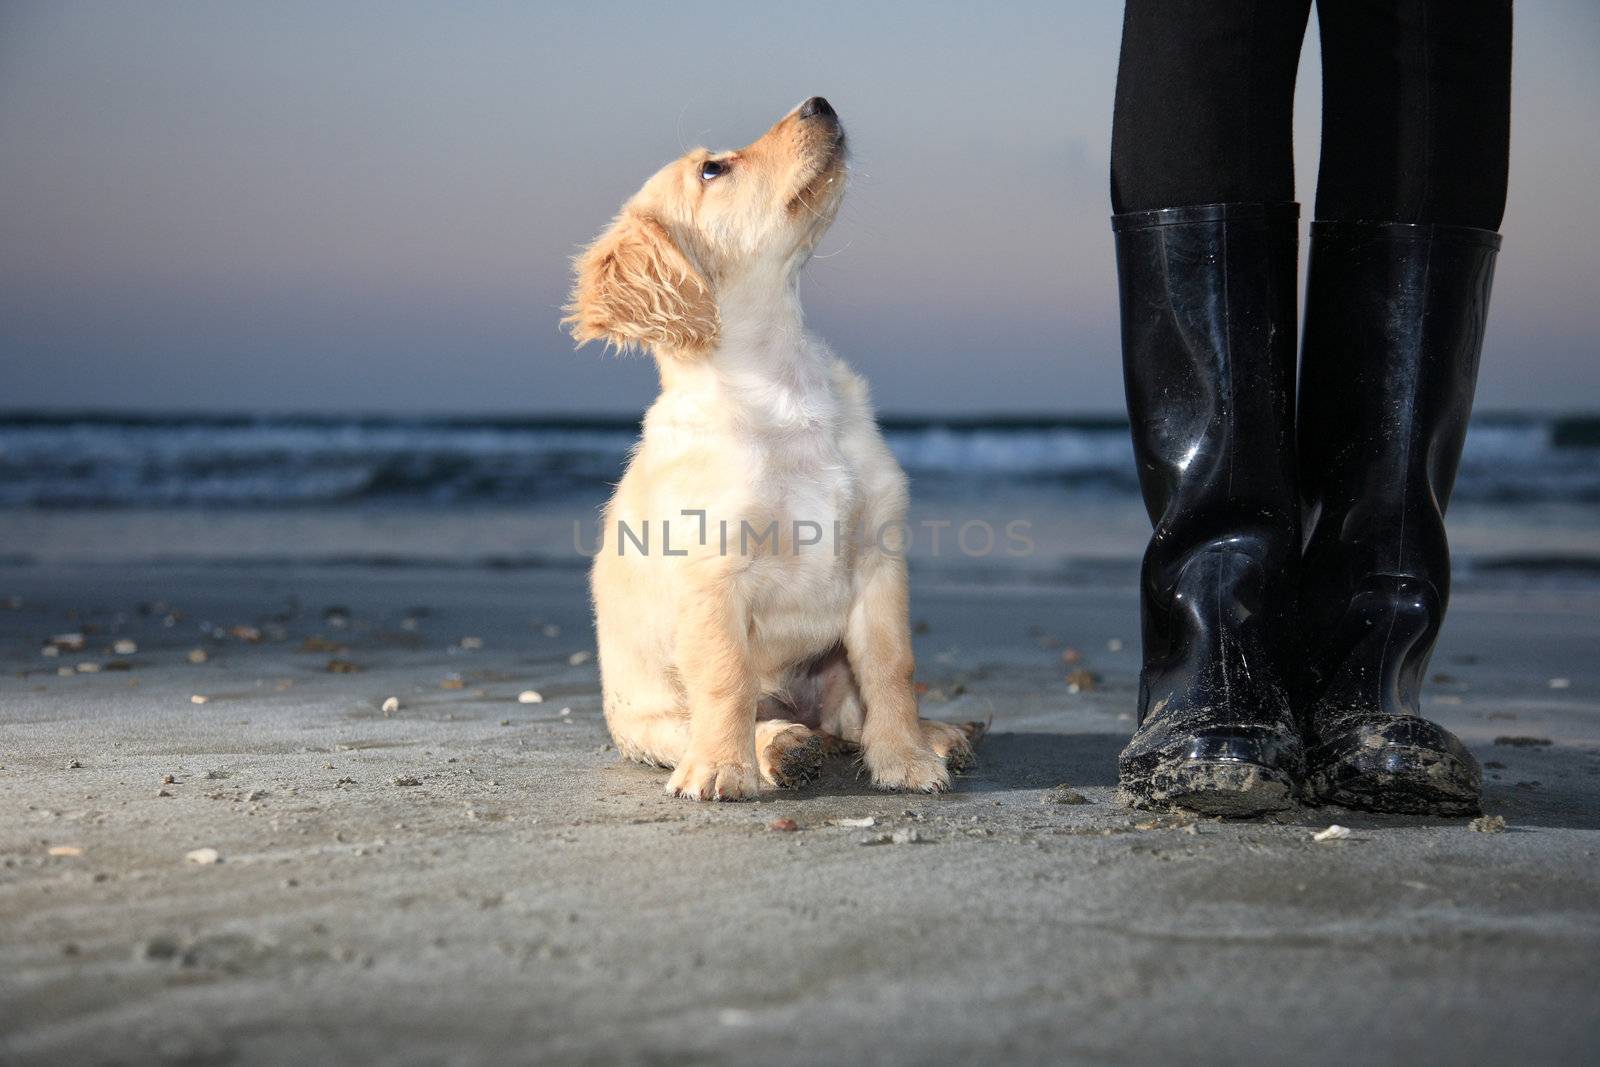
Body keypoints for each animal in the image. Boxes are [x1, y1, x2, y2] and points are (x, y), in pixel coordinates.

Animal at [569, 97, 979, 799]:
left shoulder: (877, 559)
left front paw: (904, 757)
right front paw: (725, 768)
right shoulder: (712, 577)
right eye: (712, 170)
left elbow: (892, 668)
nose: (820, 103)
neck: (783, 382)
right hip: (648, 720)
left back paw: (934, 735)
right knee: (714, 722)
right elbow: (726, 680)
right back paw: (778, 746)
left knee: (851, 715)